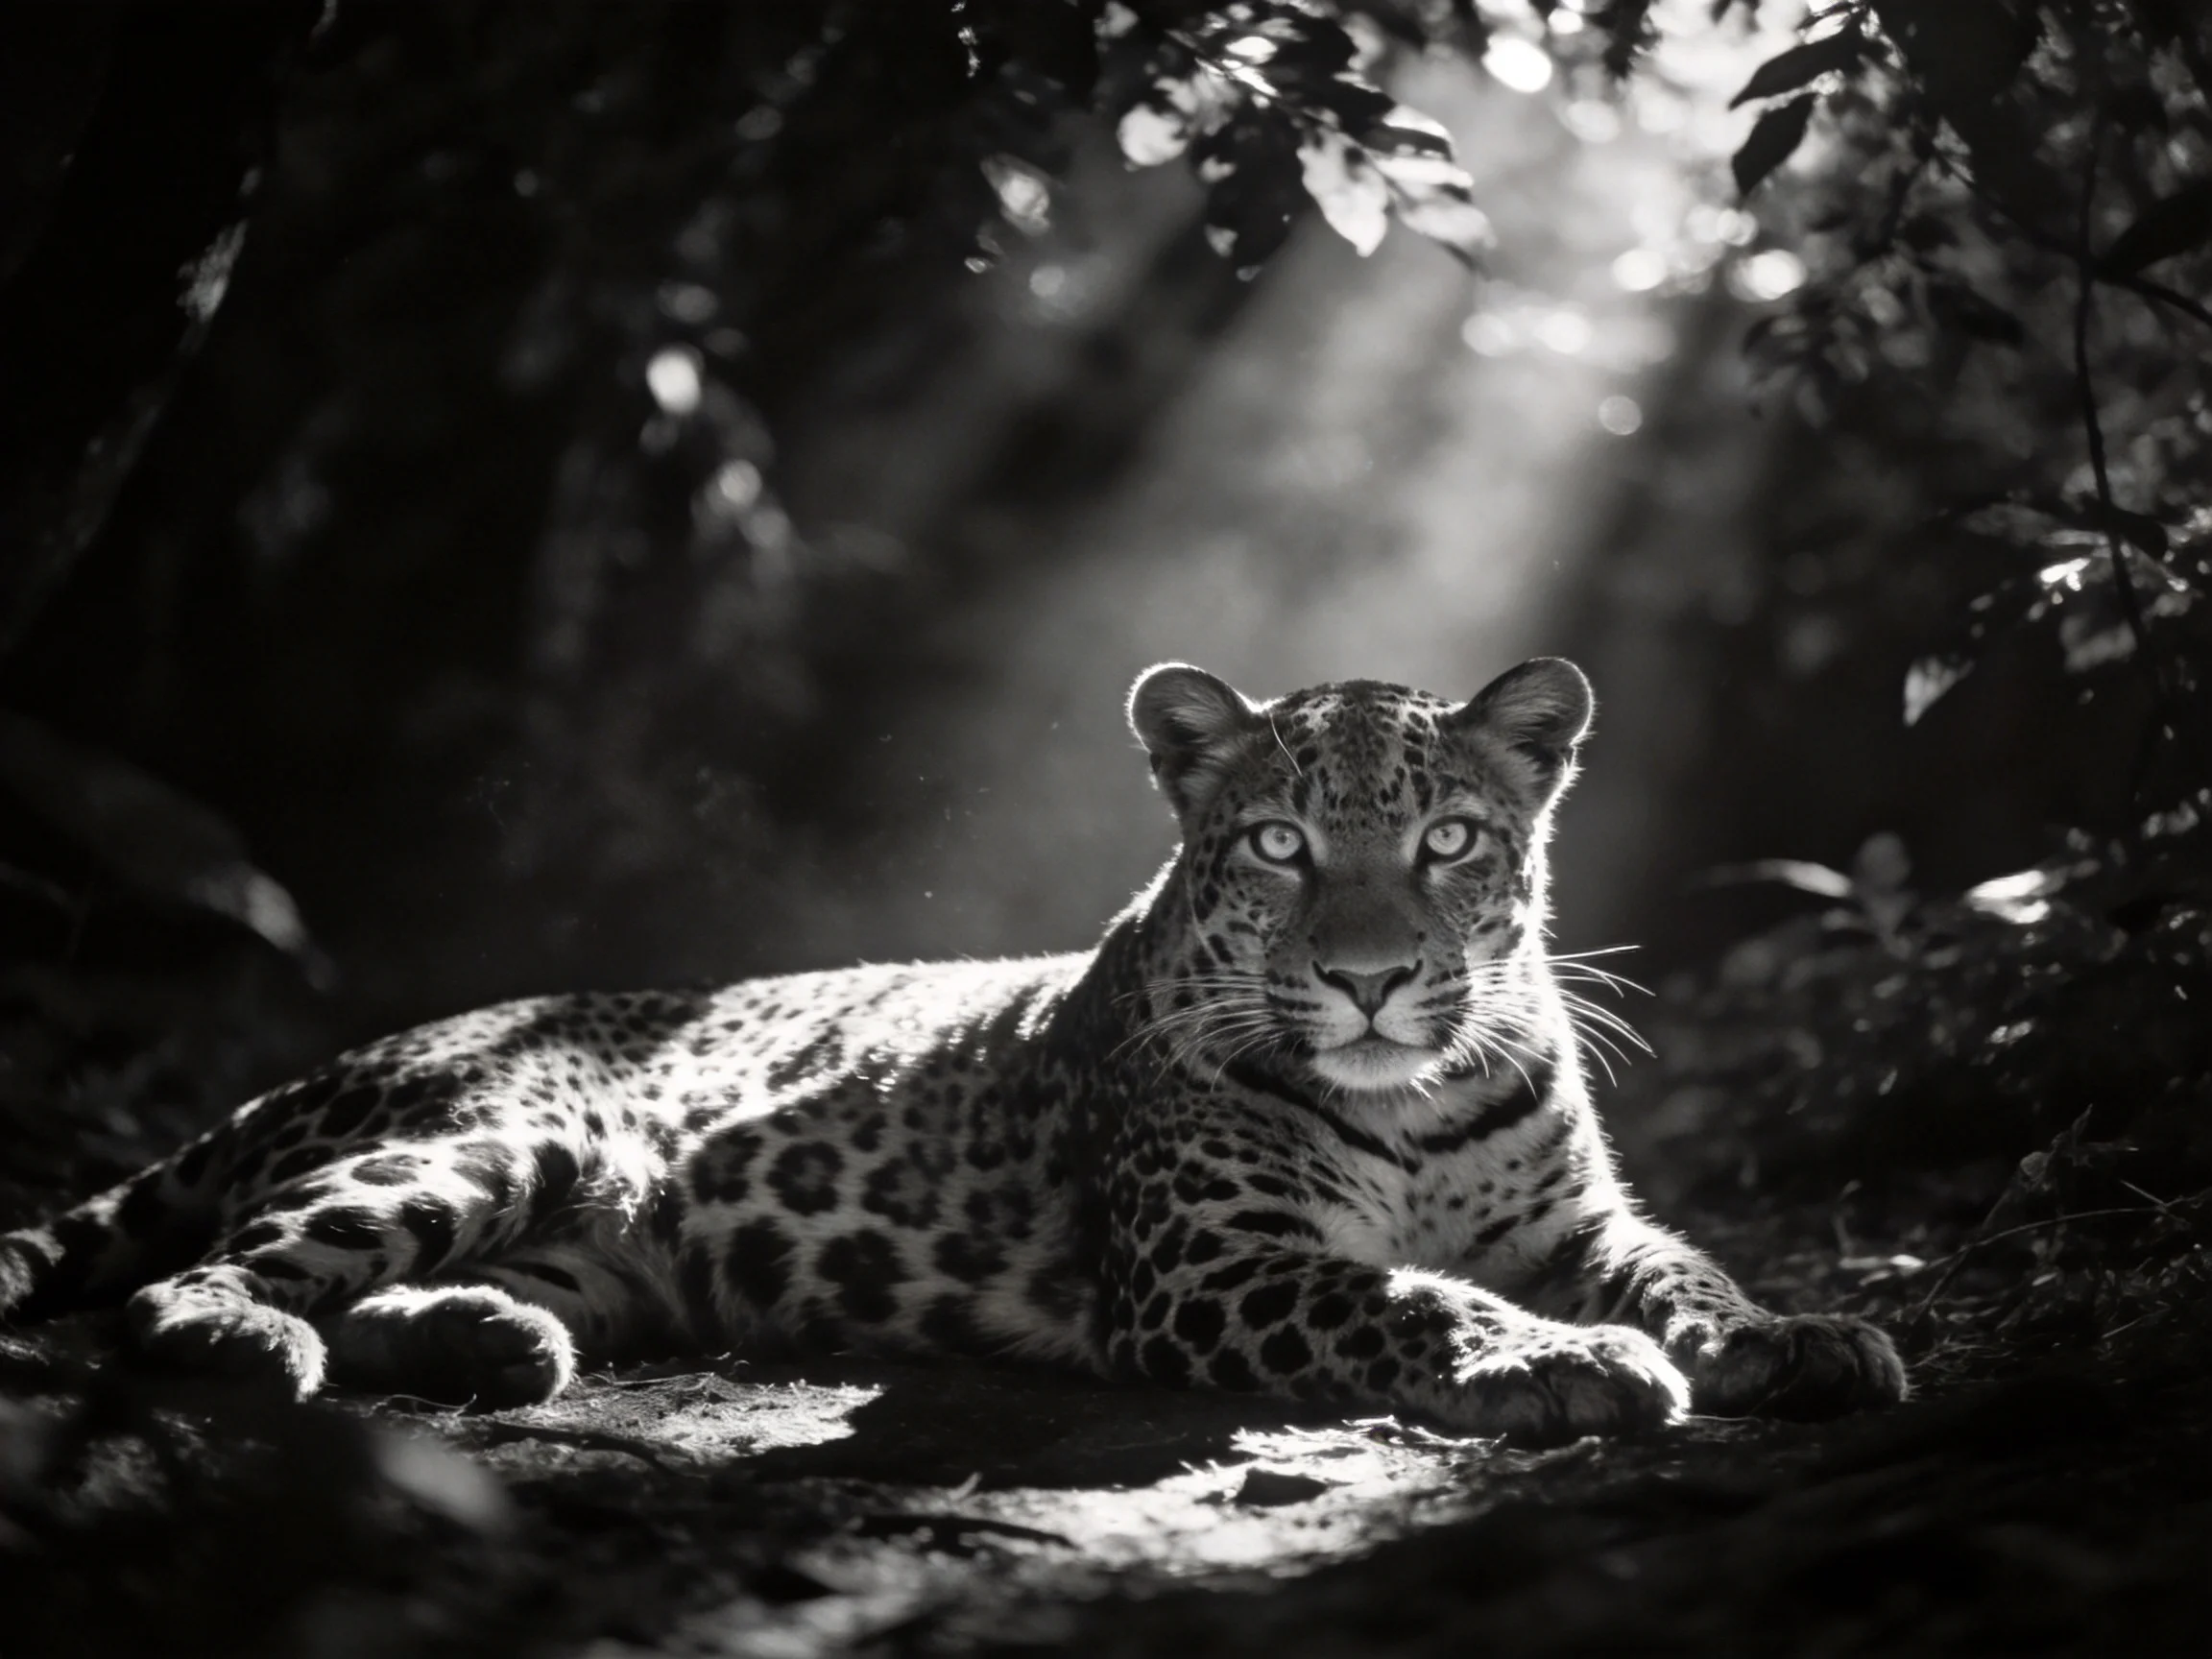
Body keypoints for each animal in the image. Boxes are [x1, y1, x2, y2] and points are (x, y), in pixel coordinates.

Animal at [0, 658, 1905, 1443]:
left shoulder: (1581, 1222)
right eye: (1277, 845)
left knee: (399, 1289)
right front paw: (1556, 1362)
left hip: (599, 1243)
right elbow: (1409, 1296)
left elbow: (1689, 1268)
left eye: (1446, 841)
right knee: (192, 1280)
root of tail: (393, 1034)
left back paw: (486, 1338)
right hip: (495, 1136)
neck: (1415, 1092)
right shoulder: (1211, 1266)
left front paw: (1795, 1334)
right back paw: (255, 1338)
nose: (1367, 980)